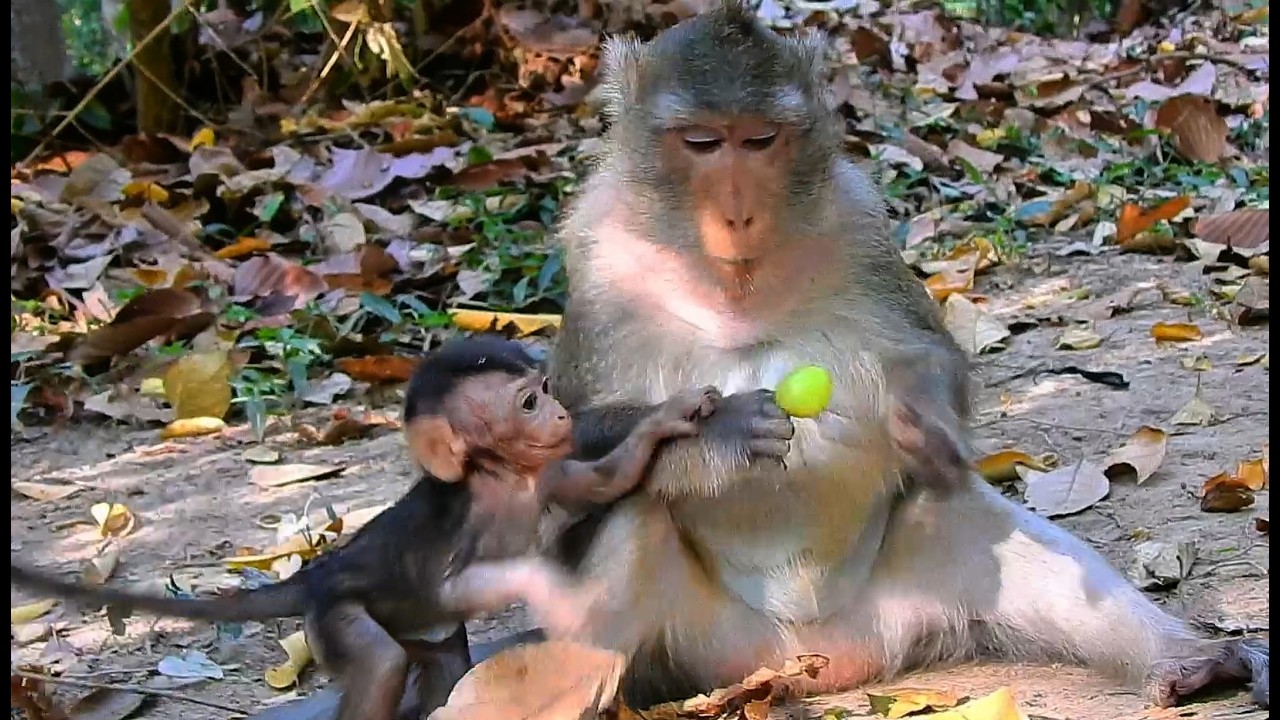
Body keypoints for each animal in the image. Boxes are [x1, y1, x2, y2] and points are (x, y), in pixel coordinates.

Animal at [11, 335, 721, 720]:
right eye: (527, 402)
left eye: (544, 389)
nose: (560, 414)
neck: (504, 482)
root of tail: (321, 570)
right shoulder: (473, 518)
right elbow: (459, 582)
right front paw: (548, 588)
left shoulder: (549, 476)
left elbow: (604, 481)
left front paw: (669, 419)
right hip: (337, 612)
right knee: (379, 662)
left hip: (418, 629)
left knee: (442, 663)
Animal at [533, 0, 1268, 711]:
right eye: (703, 143)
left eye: (762, 140)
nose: (738, 215)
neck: (733, 284)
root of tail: (807, 663)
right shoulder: (601, 253)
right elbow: (563, 440)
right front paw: (724, 430)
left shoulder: (859, 223)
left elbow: (927, 356)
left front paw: (926, 424)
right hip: (696, 650)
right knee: (634, 529)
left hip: (895, 606)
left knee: (960, 510)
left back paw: (1190, 661)